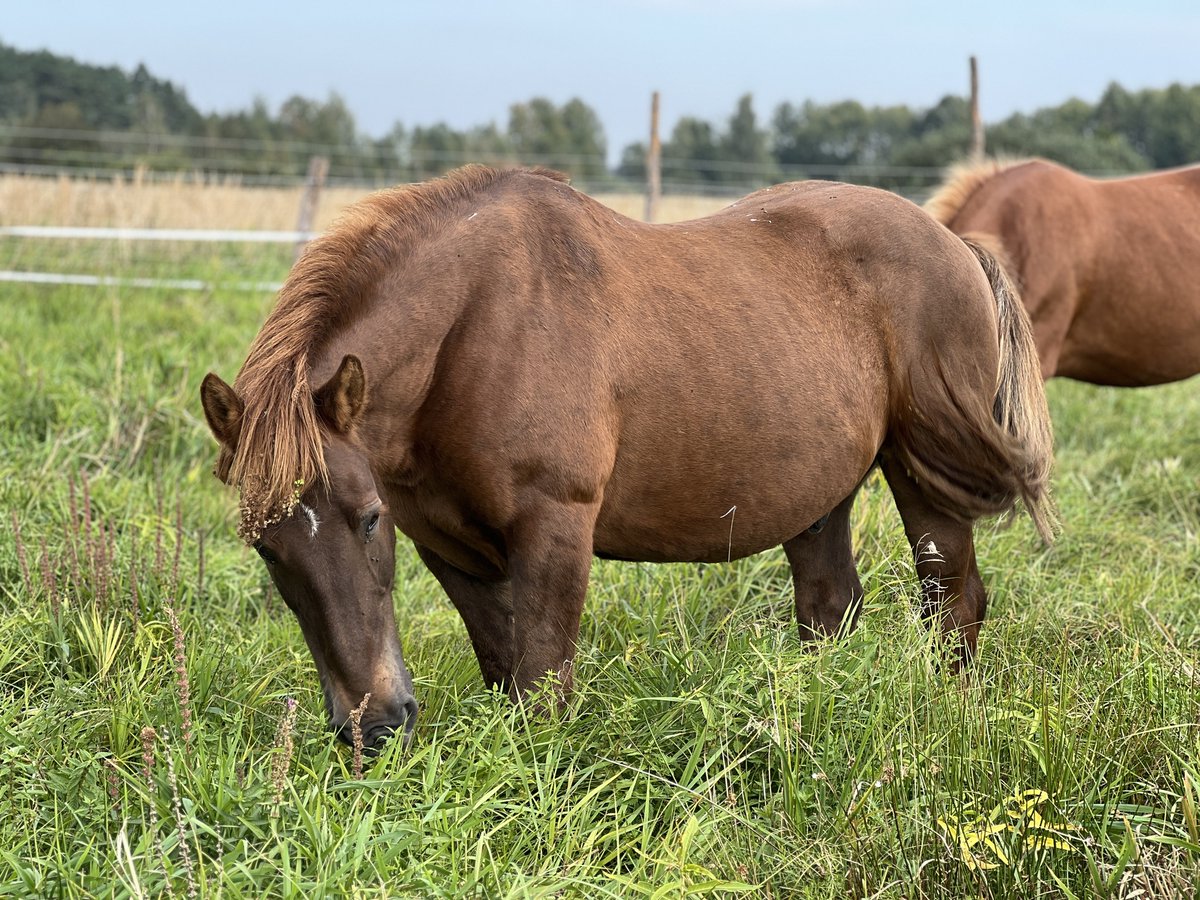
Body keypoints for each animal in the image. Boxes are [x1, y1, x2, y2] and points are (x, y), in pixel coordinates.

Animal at [200, 165, 1054, 750]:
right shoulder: (454, 552)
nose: (374, 726)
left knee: (953, 607)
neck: (473, 329)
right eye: (266, 548)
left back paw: (950, 725)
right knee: (831, 609)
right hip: (821, 496)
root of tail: (956, 245)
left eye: (369, 519)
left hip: (923, 475)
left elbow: (541, 689)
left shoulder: (554, 531)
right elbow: (504, 671)